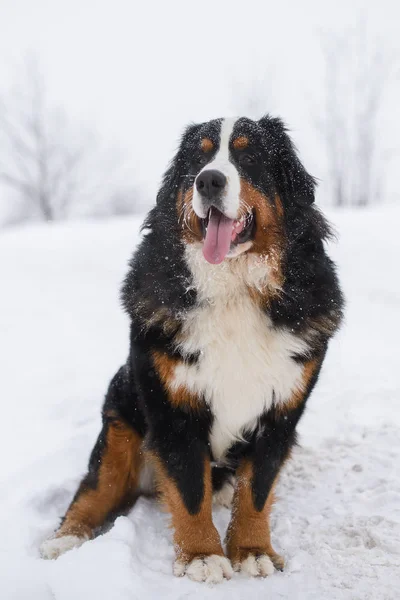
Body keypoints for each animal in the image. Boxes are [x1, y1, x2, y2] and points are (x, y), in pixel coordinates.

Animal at [42, 115, 346, 584]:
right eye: (197, 160)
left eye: (249, 155)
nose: (209, 181)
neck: (235, 287)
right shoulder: (173, 407)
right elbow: (188, 490)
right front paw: (203, 555)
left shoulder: (281, 411)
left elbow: (257, 491)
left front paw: (253, 551)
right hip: (120, 418)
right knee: (96, 488)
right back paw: (63, 541)